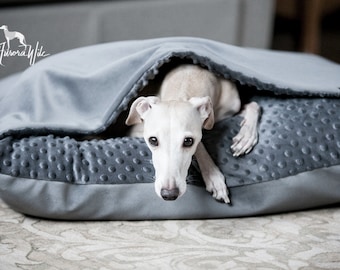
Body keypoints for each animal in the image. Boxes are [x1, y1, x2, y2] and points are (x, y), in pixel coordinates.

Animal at [125, 64, 260, 204]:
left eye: (188, 141)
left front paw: (246, 137)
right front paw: (214, 177)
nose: (169, 194)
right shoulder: (135, 132)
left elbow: (254, 105)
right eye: (153, 140)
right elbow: (200, 144)